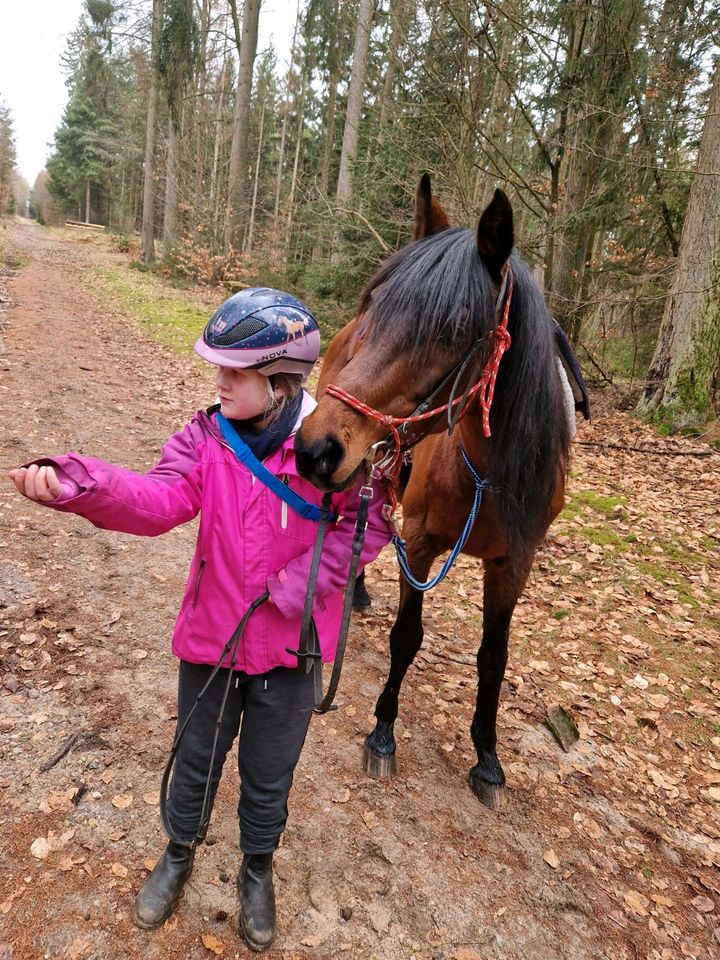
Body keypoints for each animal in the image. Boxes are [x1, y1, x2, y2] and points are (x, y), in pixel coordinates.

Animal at [296, 176, 572, 808]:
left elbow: (493, 659)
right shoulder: (419, 542)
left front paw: (488, 758)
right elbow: (407, 636)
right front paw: (382, 731)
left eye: (451, 332)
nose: (315, 449)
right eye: (376, 305)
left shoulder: (513, 564)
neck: (489, 474)